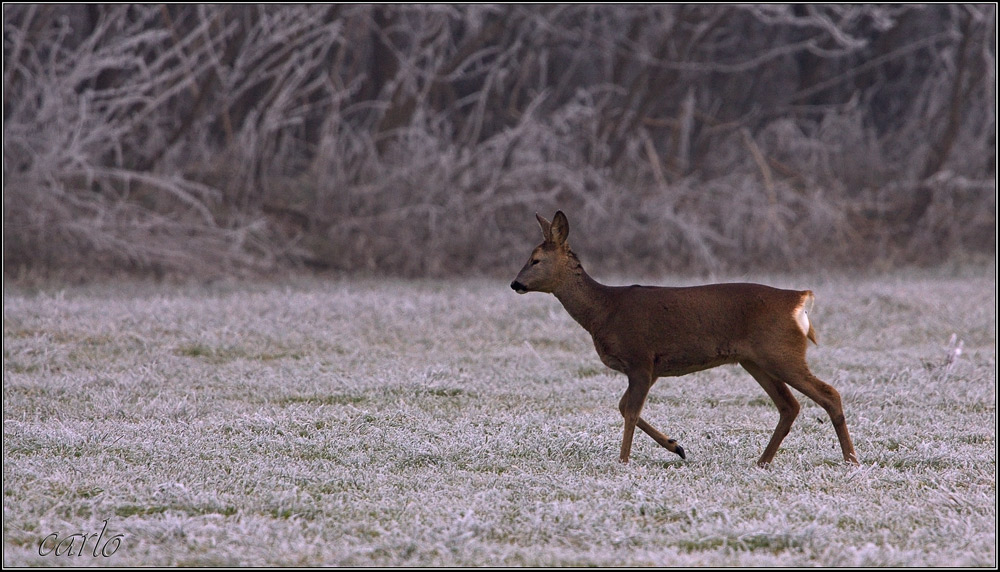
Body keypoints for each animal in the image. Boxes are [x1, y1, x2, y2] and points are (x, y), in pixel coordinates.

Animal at [512, 210, 856, 464]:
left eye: (536, 260)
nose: (515, 283)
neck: (603, 311)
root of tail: (798, 299)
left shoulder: (641, 358)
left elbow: (630, 411)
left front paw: (623, 460)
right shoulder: (648, 368)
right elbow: (624, 407)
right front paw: (676, 446)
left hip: (781, 352)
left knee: (829, 394)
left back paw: (851, 460)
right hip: (756, 360)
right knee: (789, 406)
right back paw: (762, 461)